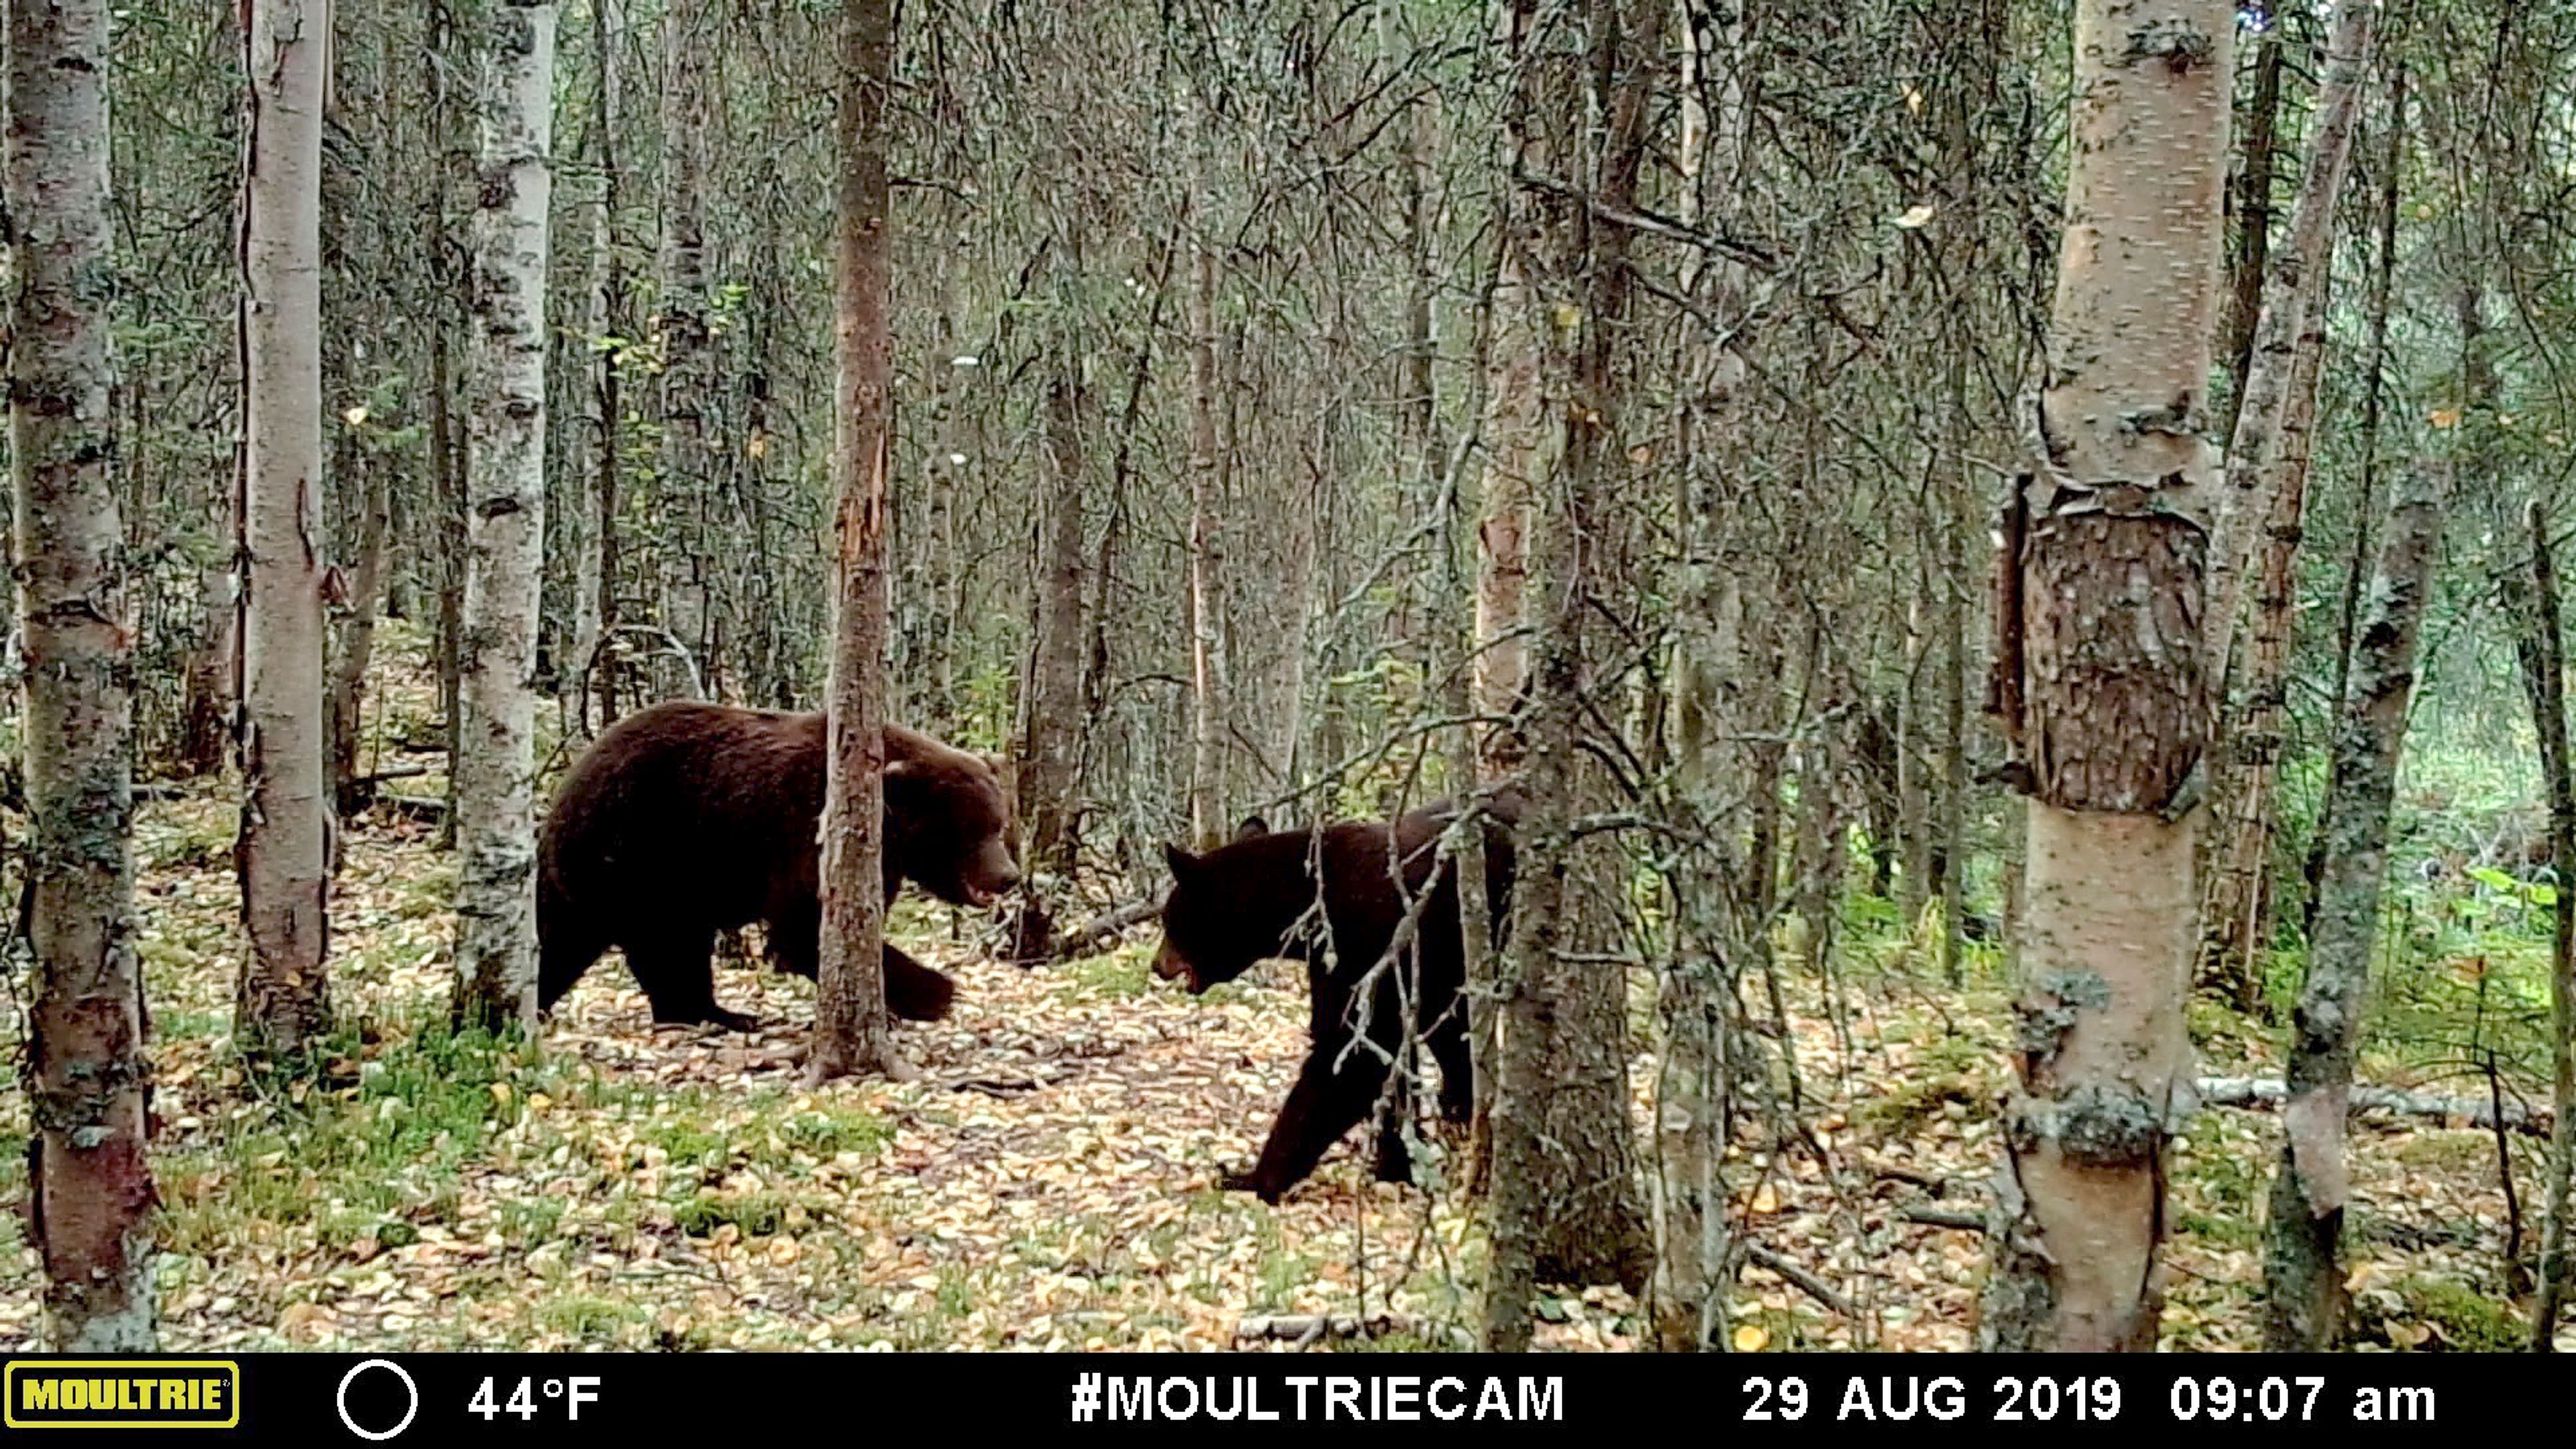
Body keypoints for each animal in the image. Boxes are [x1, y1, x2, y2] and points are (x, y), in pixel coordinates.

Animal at [538, 696, 1020, 1026]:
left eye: (998, 823)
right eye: (971, 830)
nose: (1008, 876)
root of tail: (568, 783)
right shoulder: (807, 829)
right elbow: (804, 925)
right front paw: (937, 992)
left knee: (564, 937)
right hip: (643, 851)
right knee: (665, 941)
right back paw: (711, 1014)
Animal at [1154, 789, 1525, 1196]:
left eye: (1168, 920)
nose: (1156, 965)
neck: (1306, 903)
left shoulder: (1368, 944)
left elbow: (1351, 1054)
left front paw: (1250, 1176)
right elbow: (1411, 1053)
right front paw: (1402, 1164)